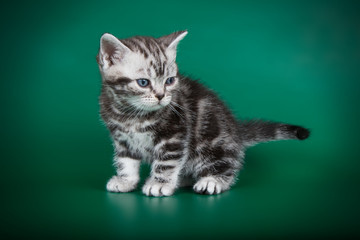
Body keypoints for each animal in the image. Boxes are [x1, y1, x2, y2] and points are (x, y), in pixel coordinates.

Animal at [95, 30, 310, 197]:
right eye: (143, 82)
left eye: (170, 80)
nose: (161, 96)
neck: (131, 115)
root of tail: (236, 131)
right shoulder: (122, 138)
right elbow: (125, 160)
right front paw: (125, 181)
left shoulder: (174, 136)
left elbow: (166, 162)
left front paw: (159, 183)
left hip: (212, 143)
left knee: (227, 163)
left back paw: (211, 180)